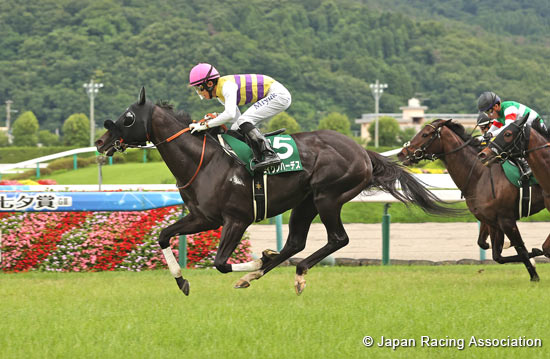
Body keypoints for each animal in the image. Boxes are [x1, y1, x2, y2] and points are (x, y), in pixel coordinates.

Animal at [97, 87, 460, 296]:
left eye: (128, 117)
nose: (101, 141)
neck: (204, 161)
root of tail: (361, 150)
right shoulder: (203, 217)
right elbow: (163, 236)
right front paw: (182, 281)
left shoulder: (236, 219)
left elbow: (221, 262)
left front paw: (257, 259)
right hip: (306, 202)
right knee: (296, 242)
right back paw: (262, 273)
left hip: (328, 196)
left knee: (337, 239)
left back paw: (288, 272)